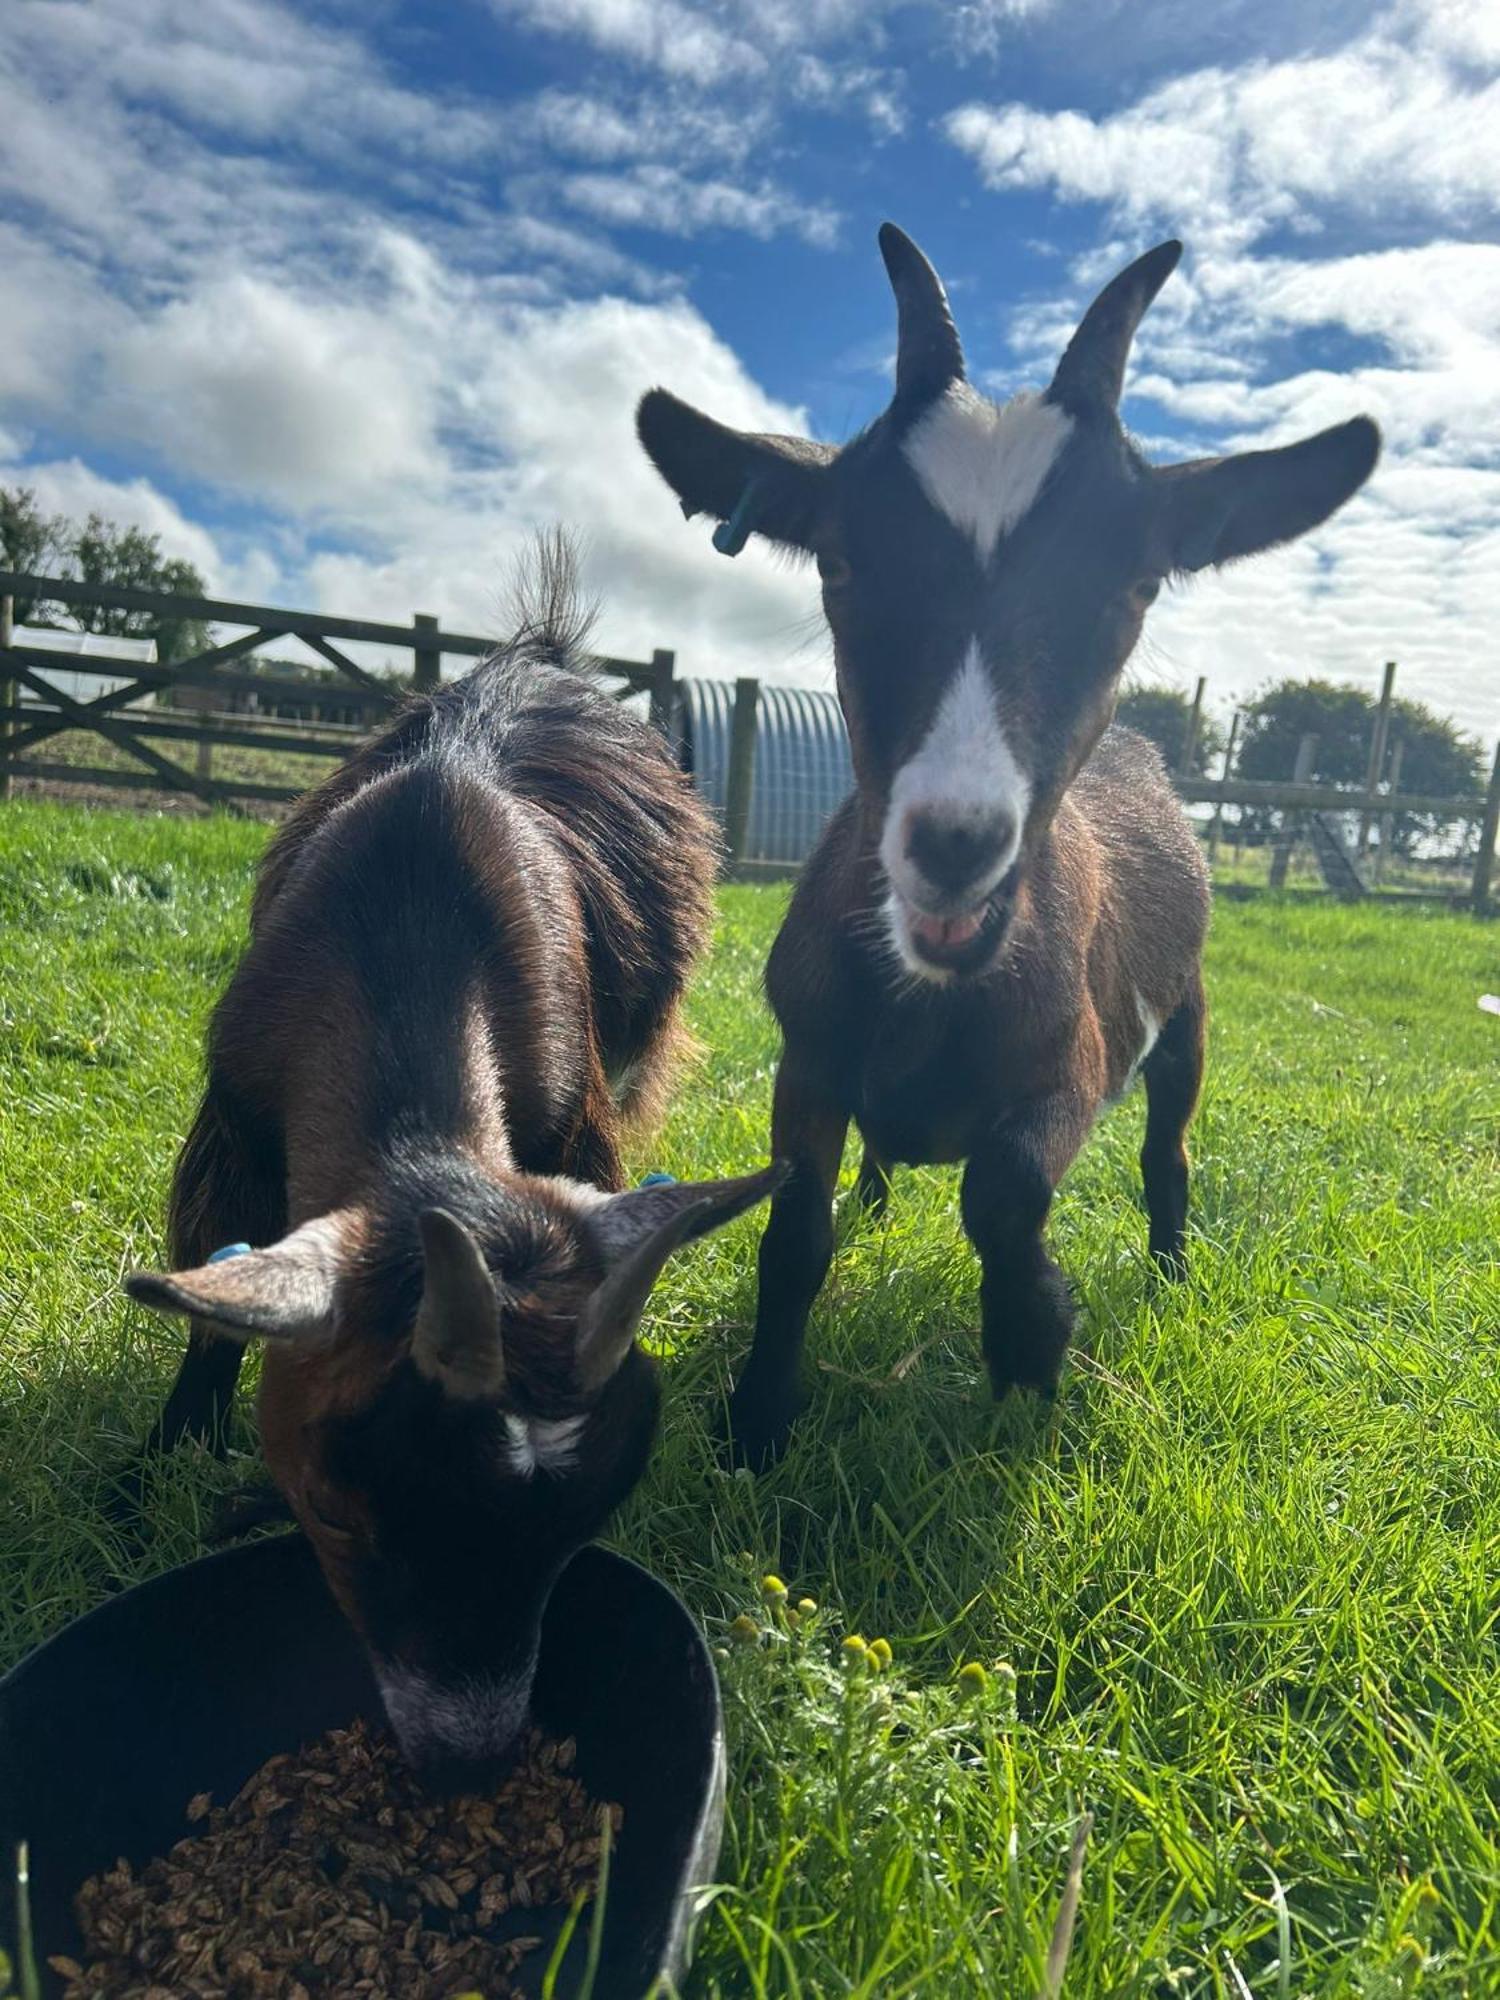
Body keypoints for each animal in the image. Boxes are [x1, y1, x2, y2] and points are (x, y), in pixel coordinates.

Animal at [640, 230, 1384, 1472]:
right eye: (840, 564)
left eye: (1137, 582)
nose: (955, 841)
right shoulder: (809, 1055)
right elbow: (794, 1234)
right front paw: (755, 1424)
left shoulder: (1077, 1056)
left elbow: (1007, 1185)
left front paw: (1034, 1334)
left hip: (1189, 1014)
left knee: (1168, 1152)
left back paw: (1170, 1273)